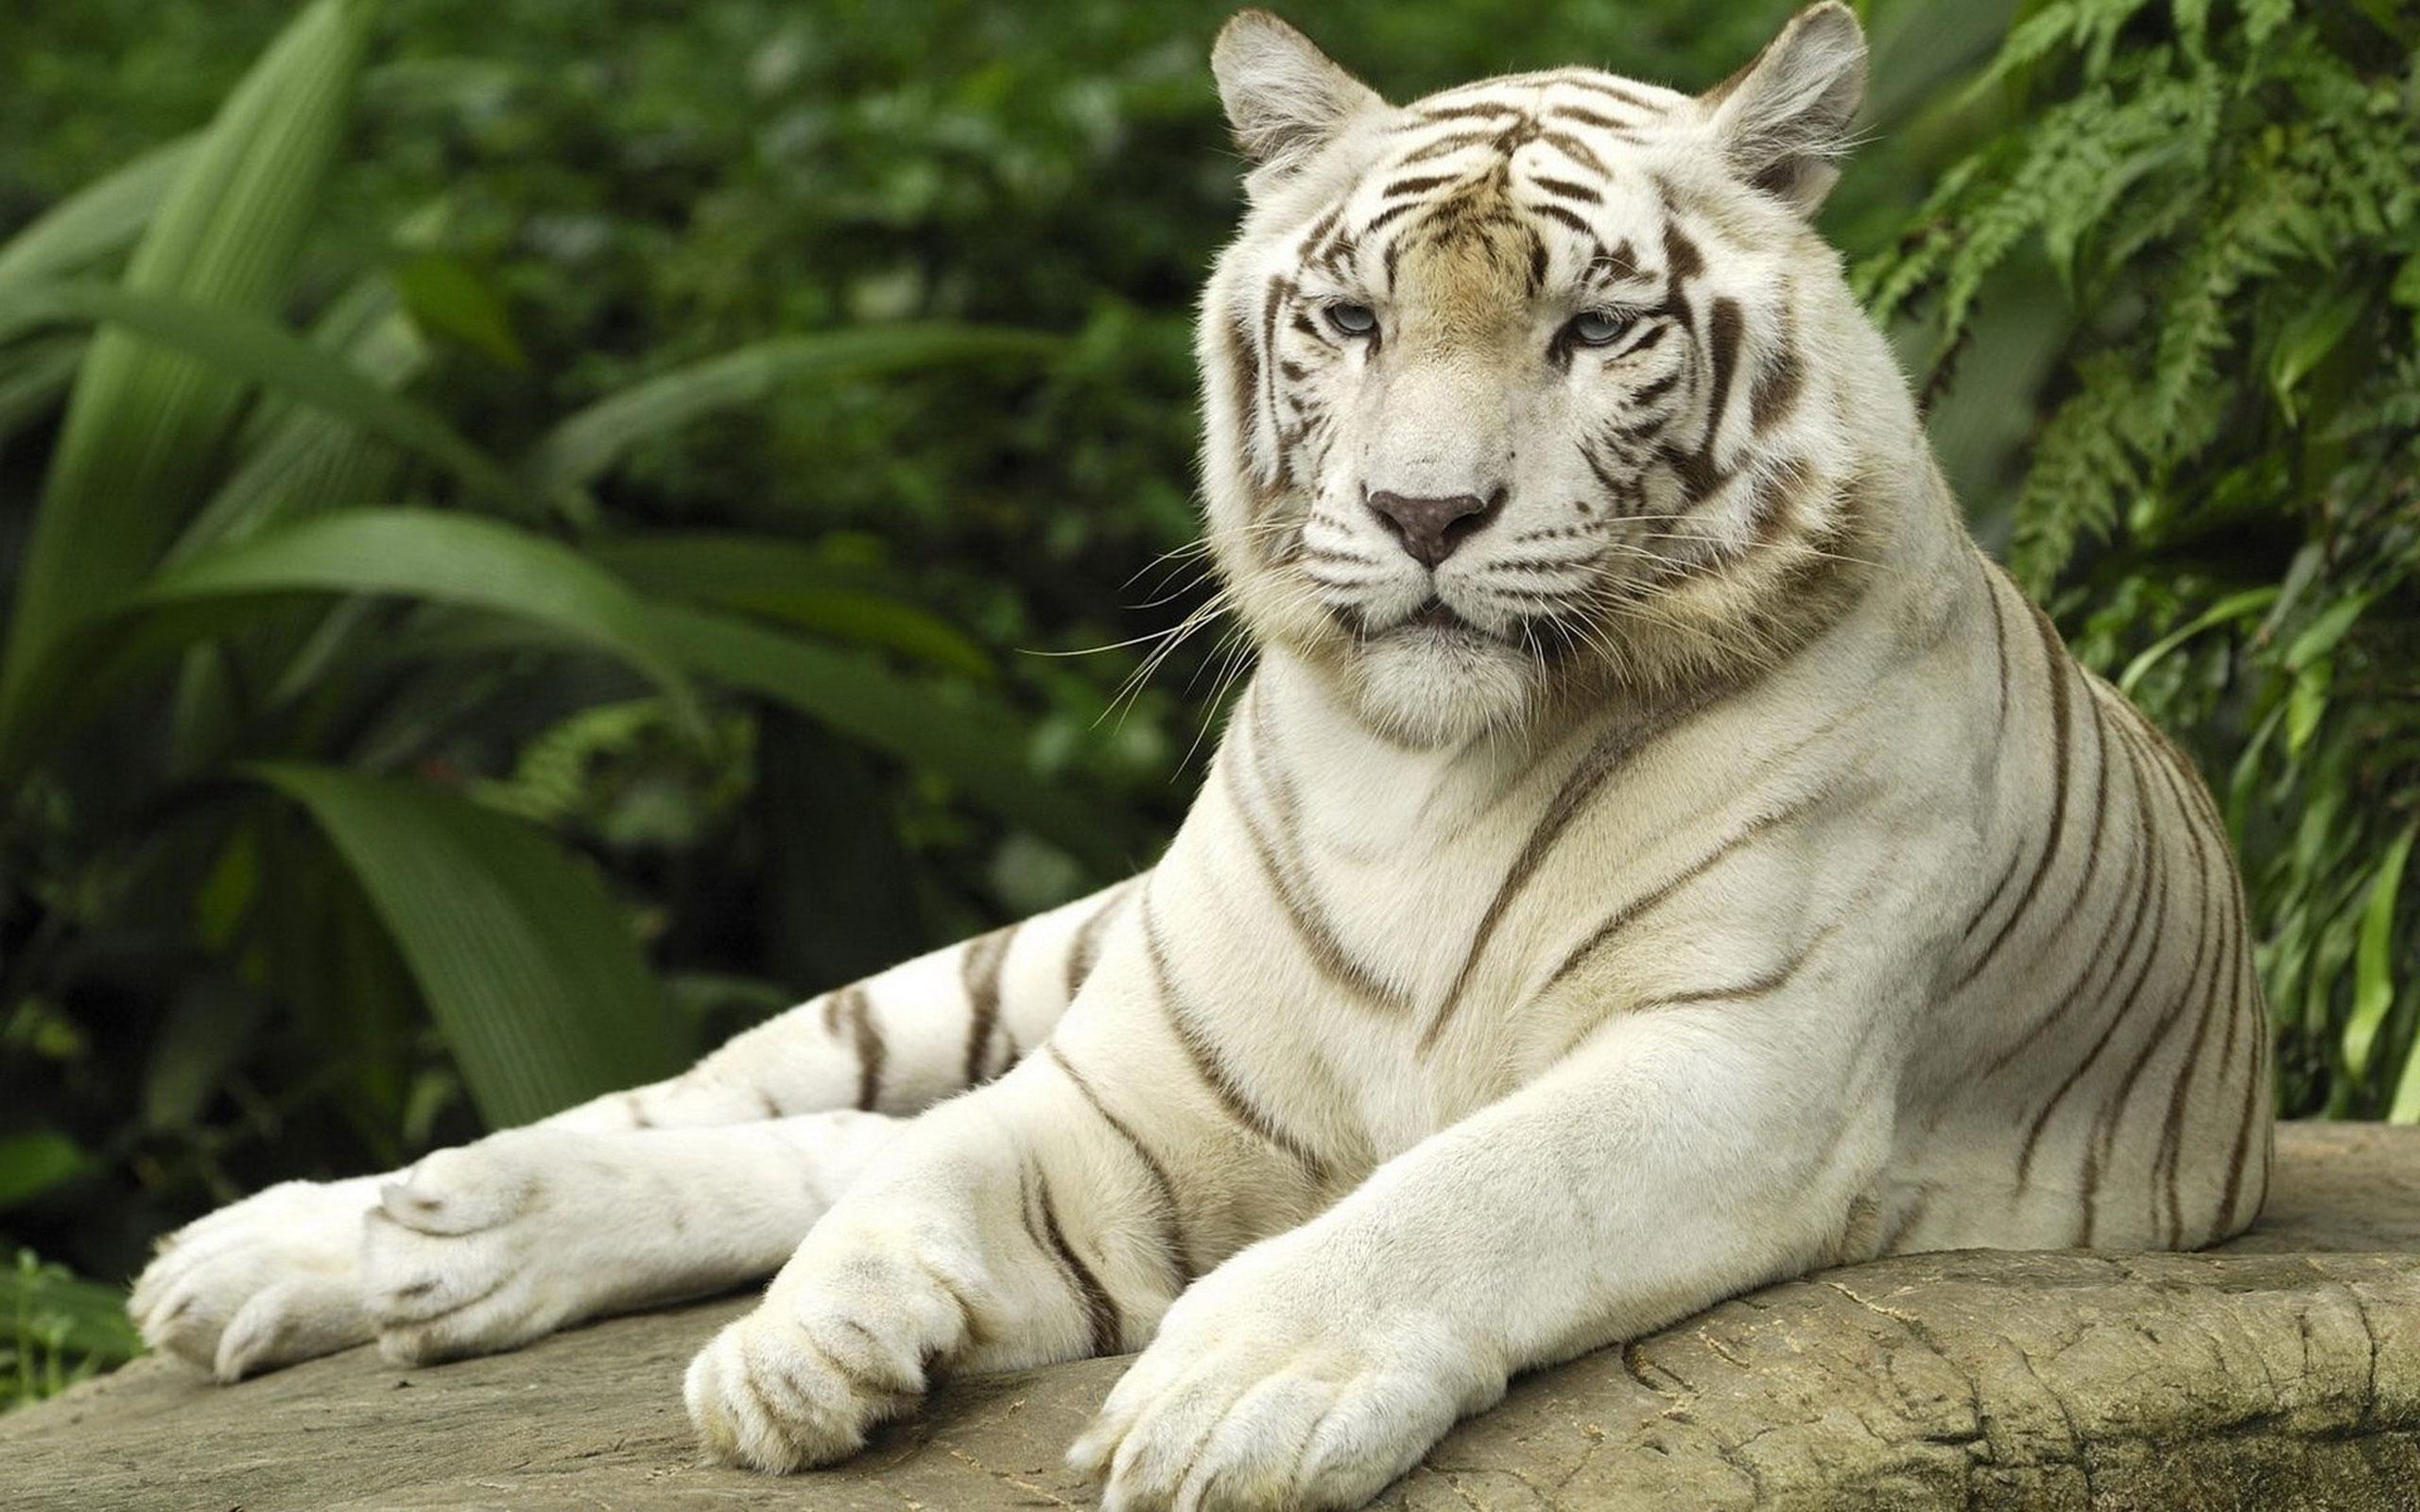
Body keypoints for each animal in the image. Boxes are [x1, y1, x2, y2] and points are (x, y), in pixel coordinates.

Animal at [129, 6, 2273, 1508]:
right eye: (1348, 316)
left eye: (1591, 331)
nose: (1423, 512)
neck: (1424, 776)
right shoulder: (1139, 1091)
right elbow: (930, 1171)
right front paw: (805, 1349)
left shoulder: (1735, 1065)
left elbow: (1472, 1191)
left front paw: (1235, 1388)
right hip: (1024, 966)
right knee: (769, 1103)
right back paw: (347, 1238)